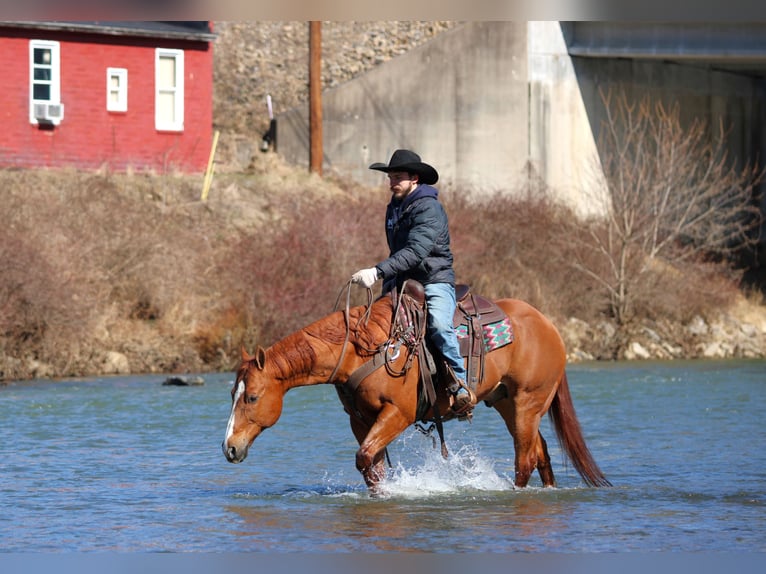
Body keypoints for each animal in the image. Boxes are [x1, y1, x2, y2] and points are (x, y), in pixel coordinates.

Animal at [222, 287, 611, 491]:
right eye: (232, 395)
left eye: (252, 397)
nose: (230, 448)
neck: (365, 349)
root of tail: (548, 325)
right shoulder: (361, 420)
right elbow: (372, 466)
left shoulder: (399, 413)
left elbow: (365, 458)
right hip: (508, 404)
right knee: (540, 453)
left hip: (528, 402)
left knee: (525, 459)